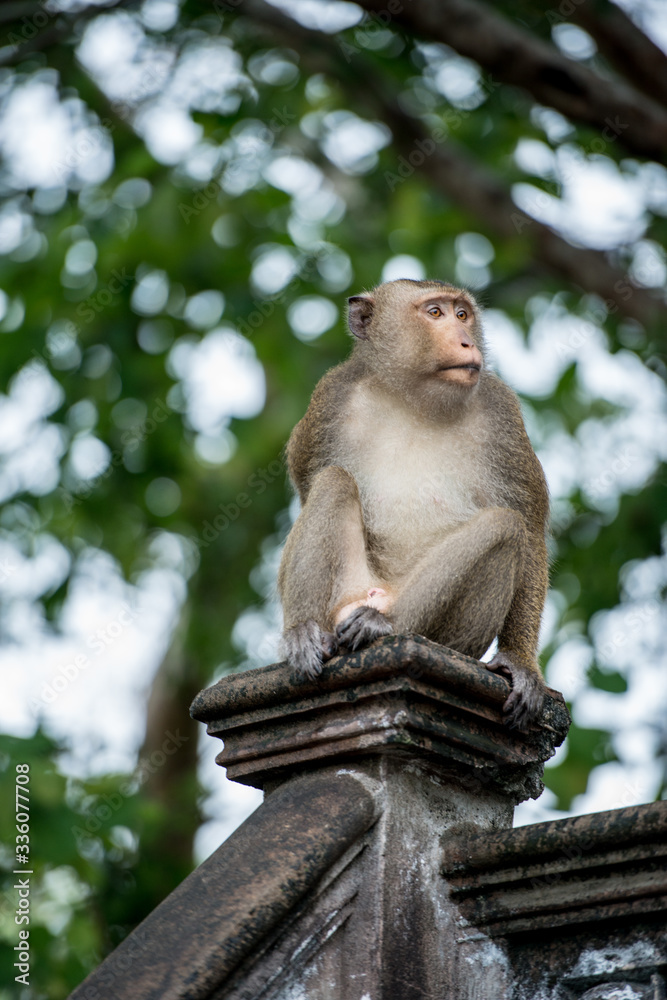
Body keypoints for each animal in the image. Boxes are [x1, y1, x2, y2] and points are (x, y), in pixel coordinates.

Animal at [277, 279, 550, 730]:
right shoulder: (330, 399)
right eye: (435, 313)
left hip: (449, 639)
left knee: (504, 526)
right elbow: (311, 484)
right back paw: (307, 633)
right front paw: (298, 632)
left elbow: (529, 525)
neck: (414, 399)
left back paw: (384, 625)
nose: (465, 340)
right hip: (347, 592)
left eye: (462, 315)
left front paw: (520, 662)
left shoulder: (503, 414)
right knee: (333, 480)